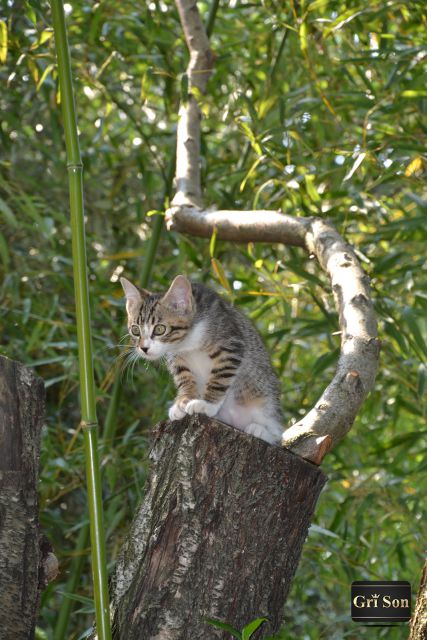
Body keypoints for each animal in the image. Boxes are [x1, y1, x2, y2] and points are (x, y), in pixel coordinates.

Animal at [120, 276, 284, 444]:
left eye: (159, 329)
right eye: (135, 330)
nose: (144, 348)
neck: (187, 341)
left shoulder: (230, 346)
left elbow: (220, 377)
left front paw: (206, 403)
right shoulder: (177, 359)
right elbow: (184, 378)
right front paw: (184, 401)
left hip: (264, 398)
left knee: (276, 430)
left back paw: (261, 431)